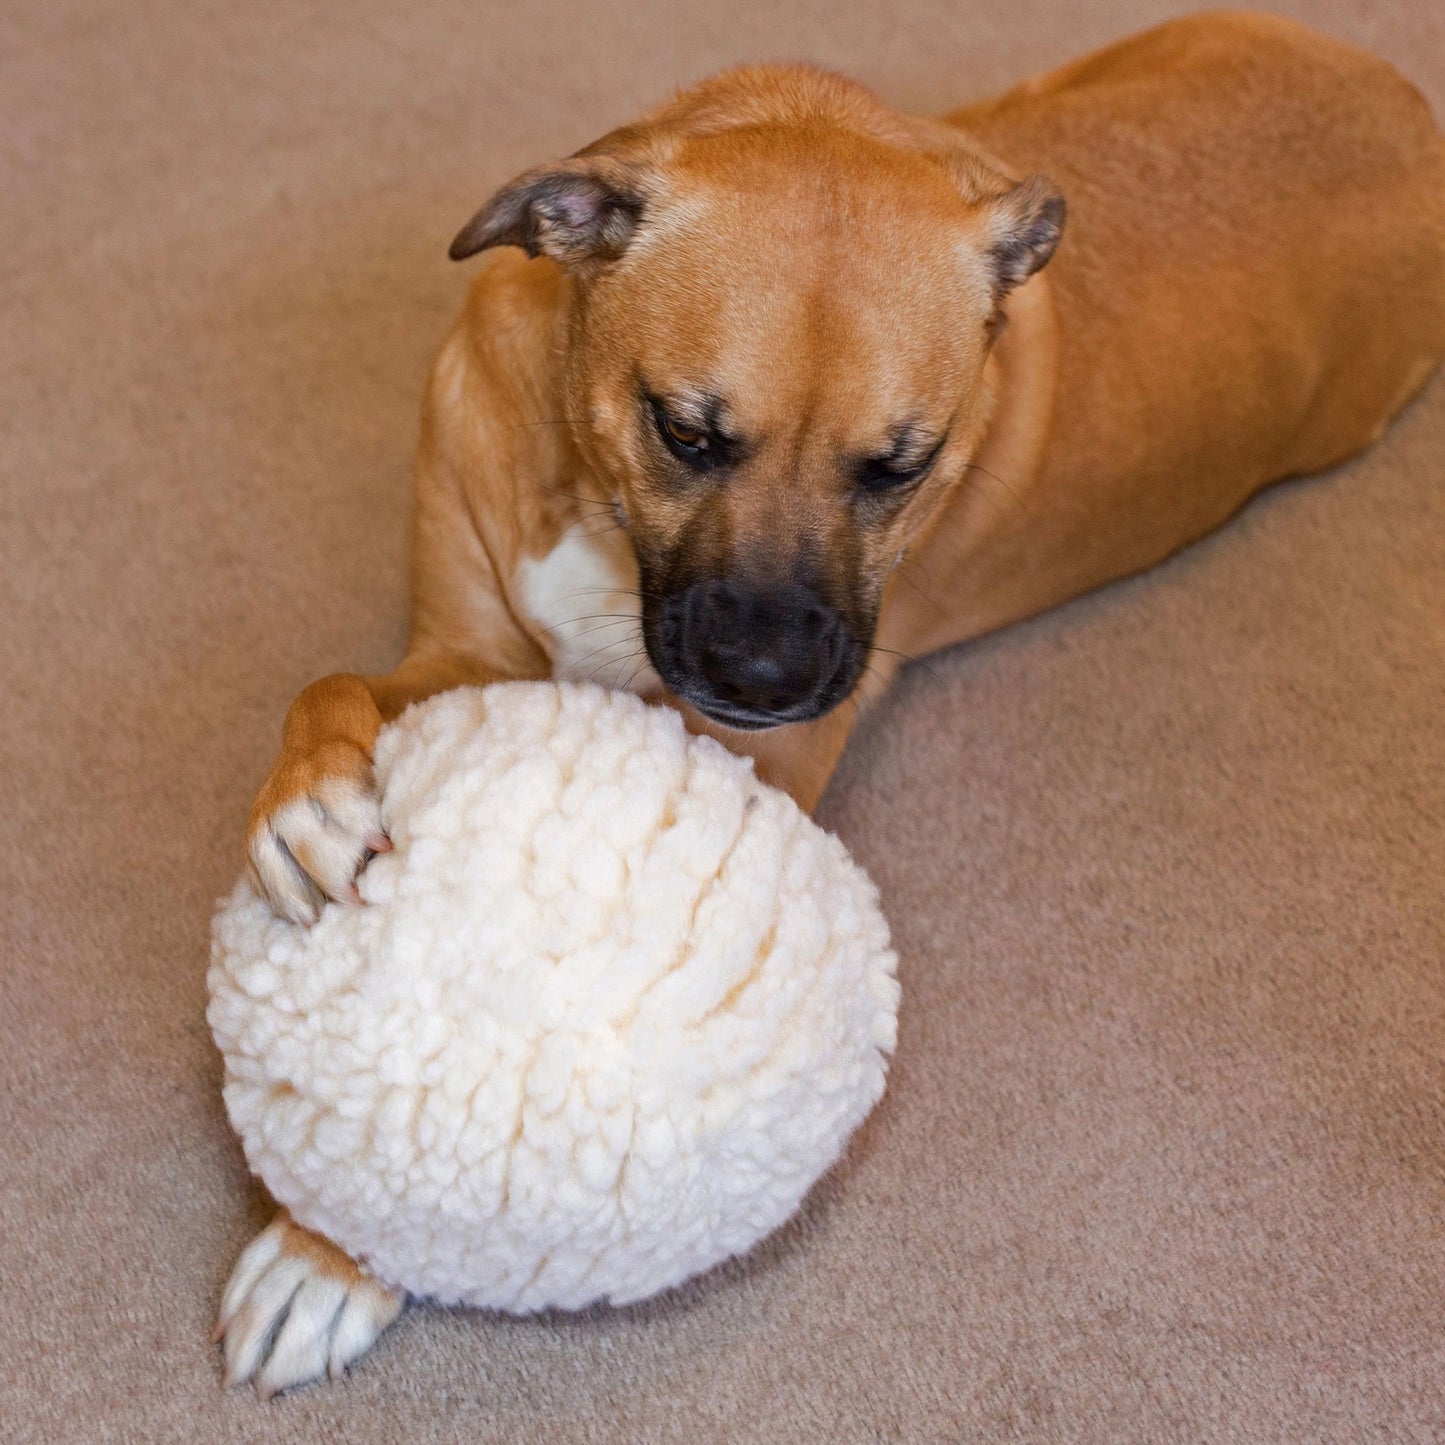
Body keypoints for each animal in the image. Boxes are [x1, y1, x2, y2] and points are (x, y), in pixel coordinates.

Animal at [216, 8, 1445, 1387]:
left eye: (898, 466)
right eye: (685, 432)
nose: (766, 681)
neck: (598, 504)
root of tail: (1402, 104)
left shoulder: (740, 762)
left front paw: (331, 1252)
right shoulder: (457, 643)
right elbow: (326, 686)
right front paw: (306, 803)